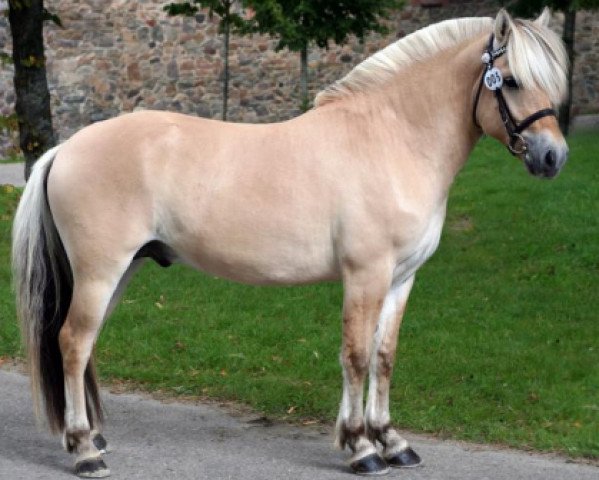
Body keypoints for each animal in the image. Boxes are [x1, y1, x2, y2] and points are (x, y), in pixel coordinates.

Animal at [12, 8, 568, 480]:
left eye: (552, 80)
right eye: (511, 80)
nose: (553, 157)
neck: (392, 138)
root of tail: (65, 147)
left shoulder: (402, 278)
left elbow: (383, 356)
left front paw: (391, 441)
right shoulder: (365, 274)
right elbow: (355, 356)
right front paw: (360, 447)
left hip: (120, 271)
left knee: (85, 345)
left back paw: (93, 438)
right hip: (100, 271)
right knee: (73, 342)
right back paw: (84, 451)